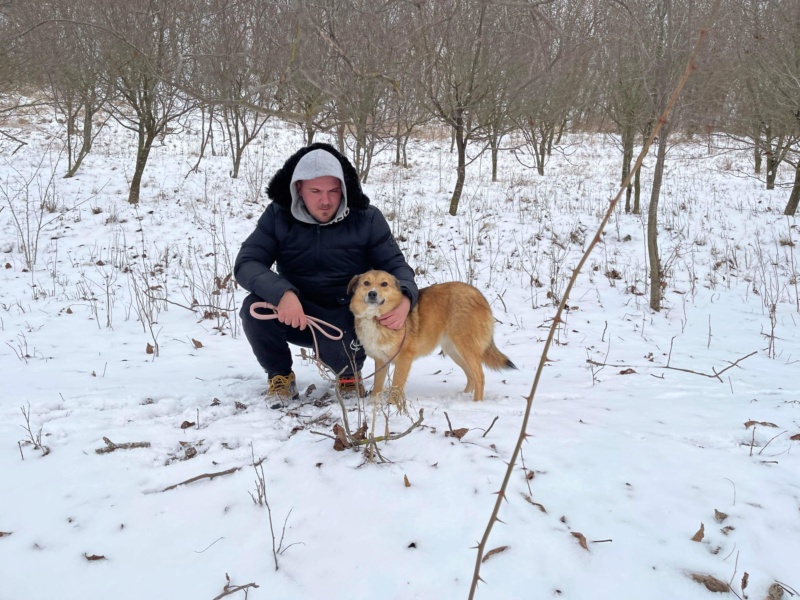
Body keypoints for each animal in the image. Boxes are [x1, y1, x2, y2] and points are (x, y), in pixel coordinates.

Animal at [346, 270, 516, 404]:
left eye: (384, 284)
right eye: (366, 283)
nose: (372, 293)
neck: (376, 318)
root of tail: (480, 295)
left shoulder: (403, 358)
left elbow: (396, 385)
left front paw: (391, 406)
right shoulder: (381, 360)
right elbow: (377, 385)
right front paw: (372, 405)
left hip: (466, 347)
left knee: (479, 376)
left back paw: (476, 403)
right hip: (455, 351)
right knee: (471, 375)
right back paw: (464, 396)